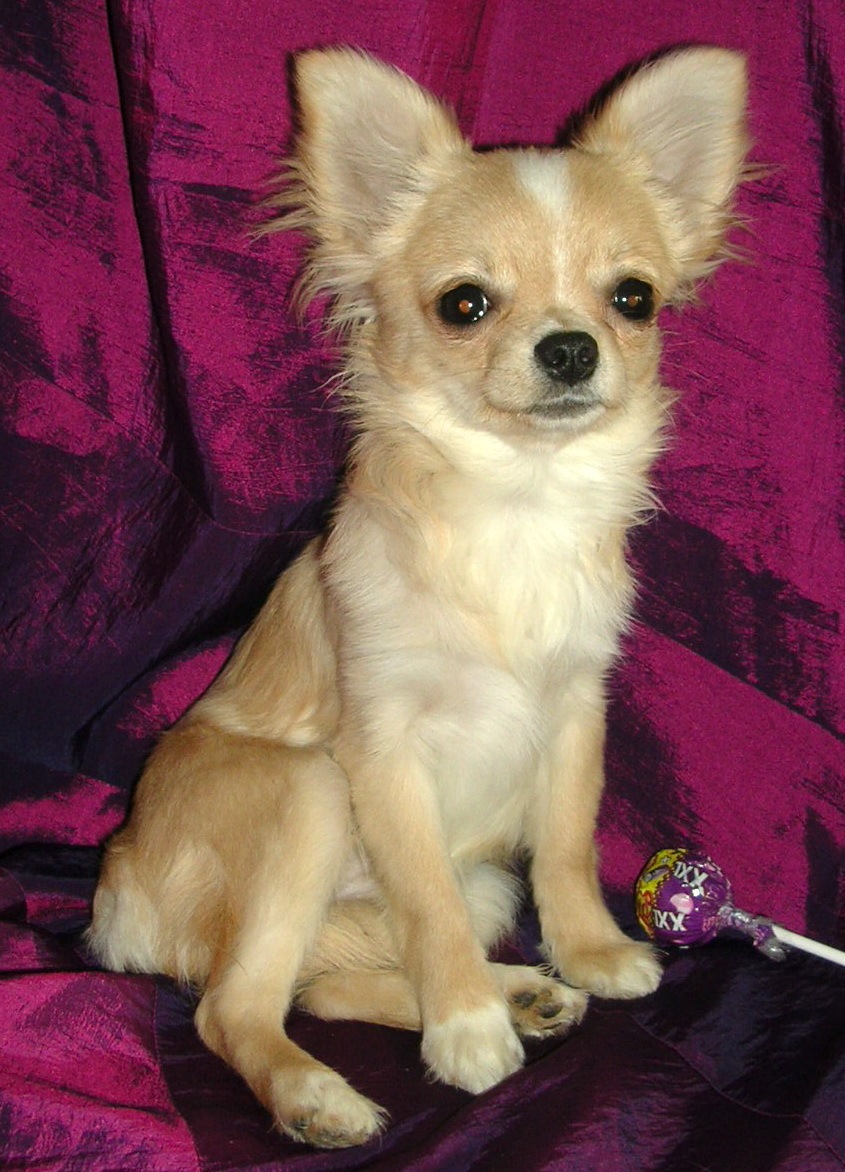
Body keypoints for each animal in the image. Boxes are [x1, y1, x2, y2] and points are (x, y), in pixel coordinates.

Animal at [88, 46, 749, 1148]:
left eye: (633, 298)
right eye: (464, 305)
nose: (570, 346)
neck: (516, 502)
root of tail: (118, 894)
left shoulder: (574, 712)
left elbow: (567, 844)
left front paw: (588, 951)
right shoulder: (383, 752)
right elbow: (425, 902)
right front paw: (466, 1031)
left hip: (477, 881)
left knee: (319, 984)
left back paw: (526, 990)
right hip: (309, 794)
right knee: (236, 1006)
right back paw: (334, 1086)